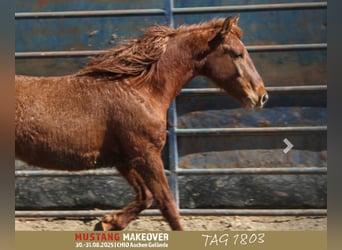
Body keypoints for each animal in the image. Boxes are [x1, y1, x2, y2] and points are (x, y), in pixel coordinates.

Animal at [15, 15, 268, 230]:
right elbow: (167, 204)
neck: (140, 90)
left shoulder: (125, 159)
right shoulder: (147, 154)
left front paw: (108, 222)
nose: (261, 96)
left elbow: (145, 196)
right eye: (237, 54)